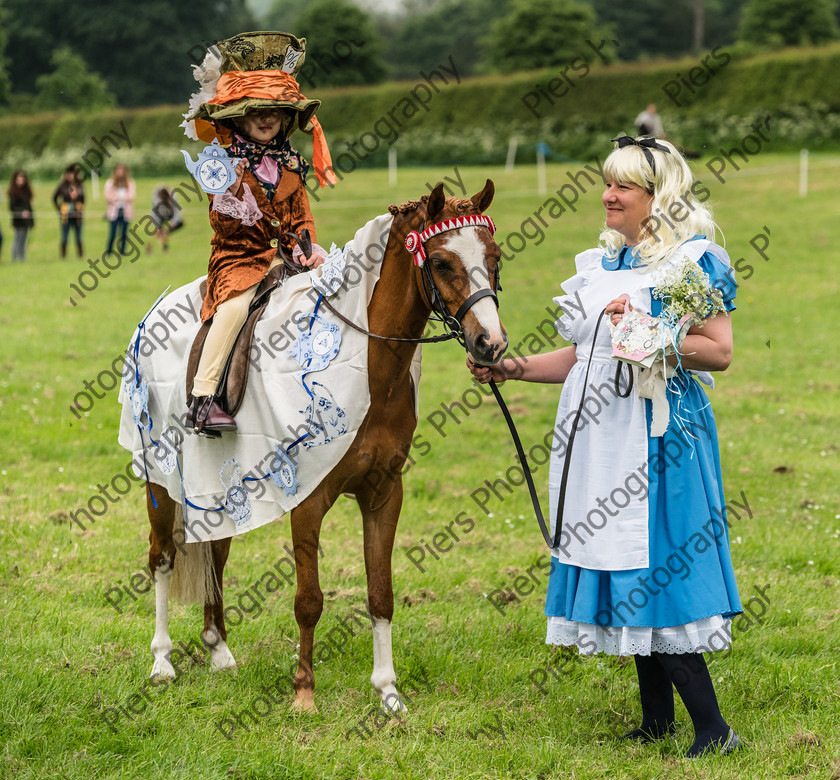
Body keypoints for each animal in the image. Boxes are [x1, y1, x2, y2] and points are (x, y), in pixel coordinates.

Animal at [144, 181, 506, 712]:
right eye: (440, 262)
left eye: (494, 258)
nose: (490, 345)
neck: (371, 370)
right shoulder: (308, 500)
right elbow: (309, 601)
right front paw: (303, 691)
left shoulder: (383, 493)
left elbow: (381, 594)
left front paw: (388, 693)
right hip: (159, 482)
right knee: (163, 558)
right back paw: (162, 661)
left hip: (219, 488)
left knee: (216, 555)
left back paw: (219, 649)